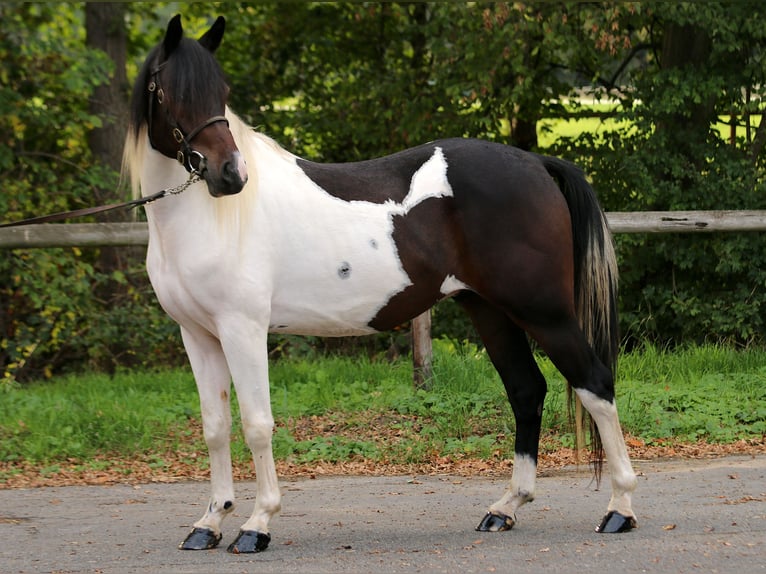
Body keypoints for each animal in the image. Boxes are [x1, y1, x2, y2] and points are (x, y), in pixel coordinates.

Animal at [123, 15, 638, 554]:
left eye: (220, 91)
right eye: (169, 91)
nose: (230, 175)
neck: (211, 219)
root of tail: (537, 163)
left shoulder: (242, 329)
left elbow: (257, 425)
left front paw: (256, 524)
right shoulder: (199, 335)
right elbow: (215, 428)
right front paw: (209, 522)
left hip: (544, 312)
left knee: (595, 383)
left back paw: (619, 509)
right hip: (489, 310)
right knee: (526, 390)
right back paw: (505, 508)